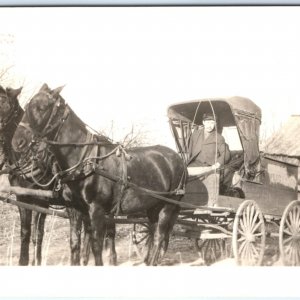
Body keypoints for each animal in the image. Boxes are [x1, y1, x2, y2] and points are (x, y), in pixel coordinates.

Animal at [12, 84, 186, 264]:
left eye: (42, 108)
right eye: (26, 106)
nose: (17, 142)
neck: (84, 161)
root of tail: (177, 158)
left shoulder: (97, 211)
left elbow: (96, 247)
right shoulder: (74, 210)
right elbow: (75, 244)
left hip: (168, 205)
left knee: (159, 236)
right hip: (152, 206)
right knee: (152, 232)